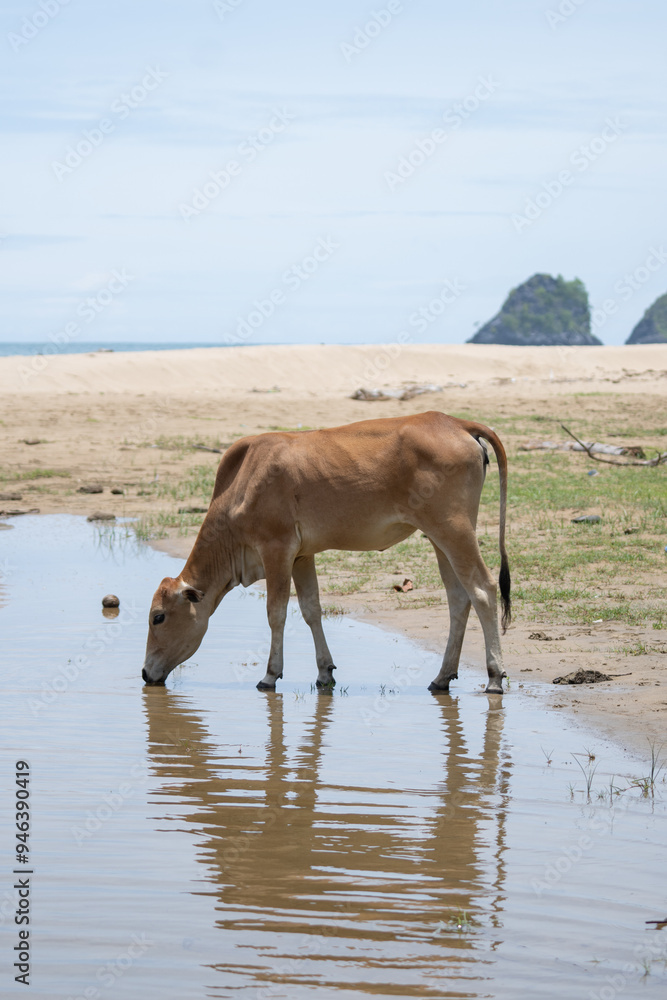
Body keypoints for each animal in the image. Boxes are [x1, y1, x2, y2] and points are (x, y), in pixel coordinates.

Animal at [142, 411, 510, 694]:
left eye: (158, 616)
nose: (145, 674)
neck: (242, 485)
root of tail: (455, 422)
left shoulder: (277, 549)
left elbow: (276, 612)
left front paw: (269, 675)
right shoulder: (302, 556)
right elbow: (311, 609)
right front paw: (324, 673)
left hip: (453, 529)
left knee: (483, 589)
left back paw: (494, 677)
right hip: (439, 537)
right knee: (458, 598)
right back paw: (442, 677)